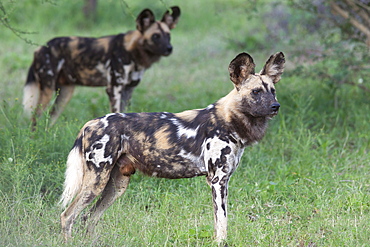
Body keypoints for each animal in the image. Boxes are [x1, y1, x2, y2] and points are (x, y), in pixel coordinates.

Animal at [21, 6, 181, 127]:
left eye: (168, 35)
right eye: (156, 36)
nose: (169, 48)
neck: (132, 51)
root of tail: (40, 48)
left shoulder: (128, 90)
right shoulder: (114, 89)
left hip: (65, 92)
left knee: (50, 119)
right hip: (47, 90)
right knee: (35, 118)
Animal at [59, 51, 284, 243]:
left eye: (273, 91)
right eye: (256, 92)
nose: (276, 106)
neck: (230, 121)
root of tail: (90, 123)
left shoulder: (223, 181)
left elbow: (221, 221)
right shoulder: (217, 181)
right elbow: (222, 221)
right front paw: (221, 243)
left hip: (116, 185)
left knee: (88, 217)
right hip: (96, 182)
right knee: (67, 215)